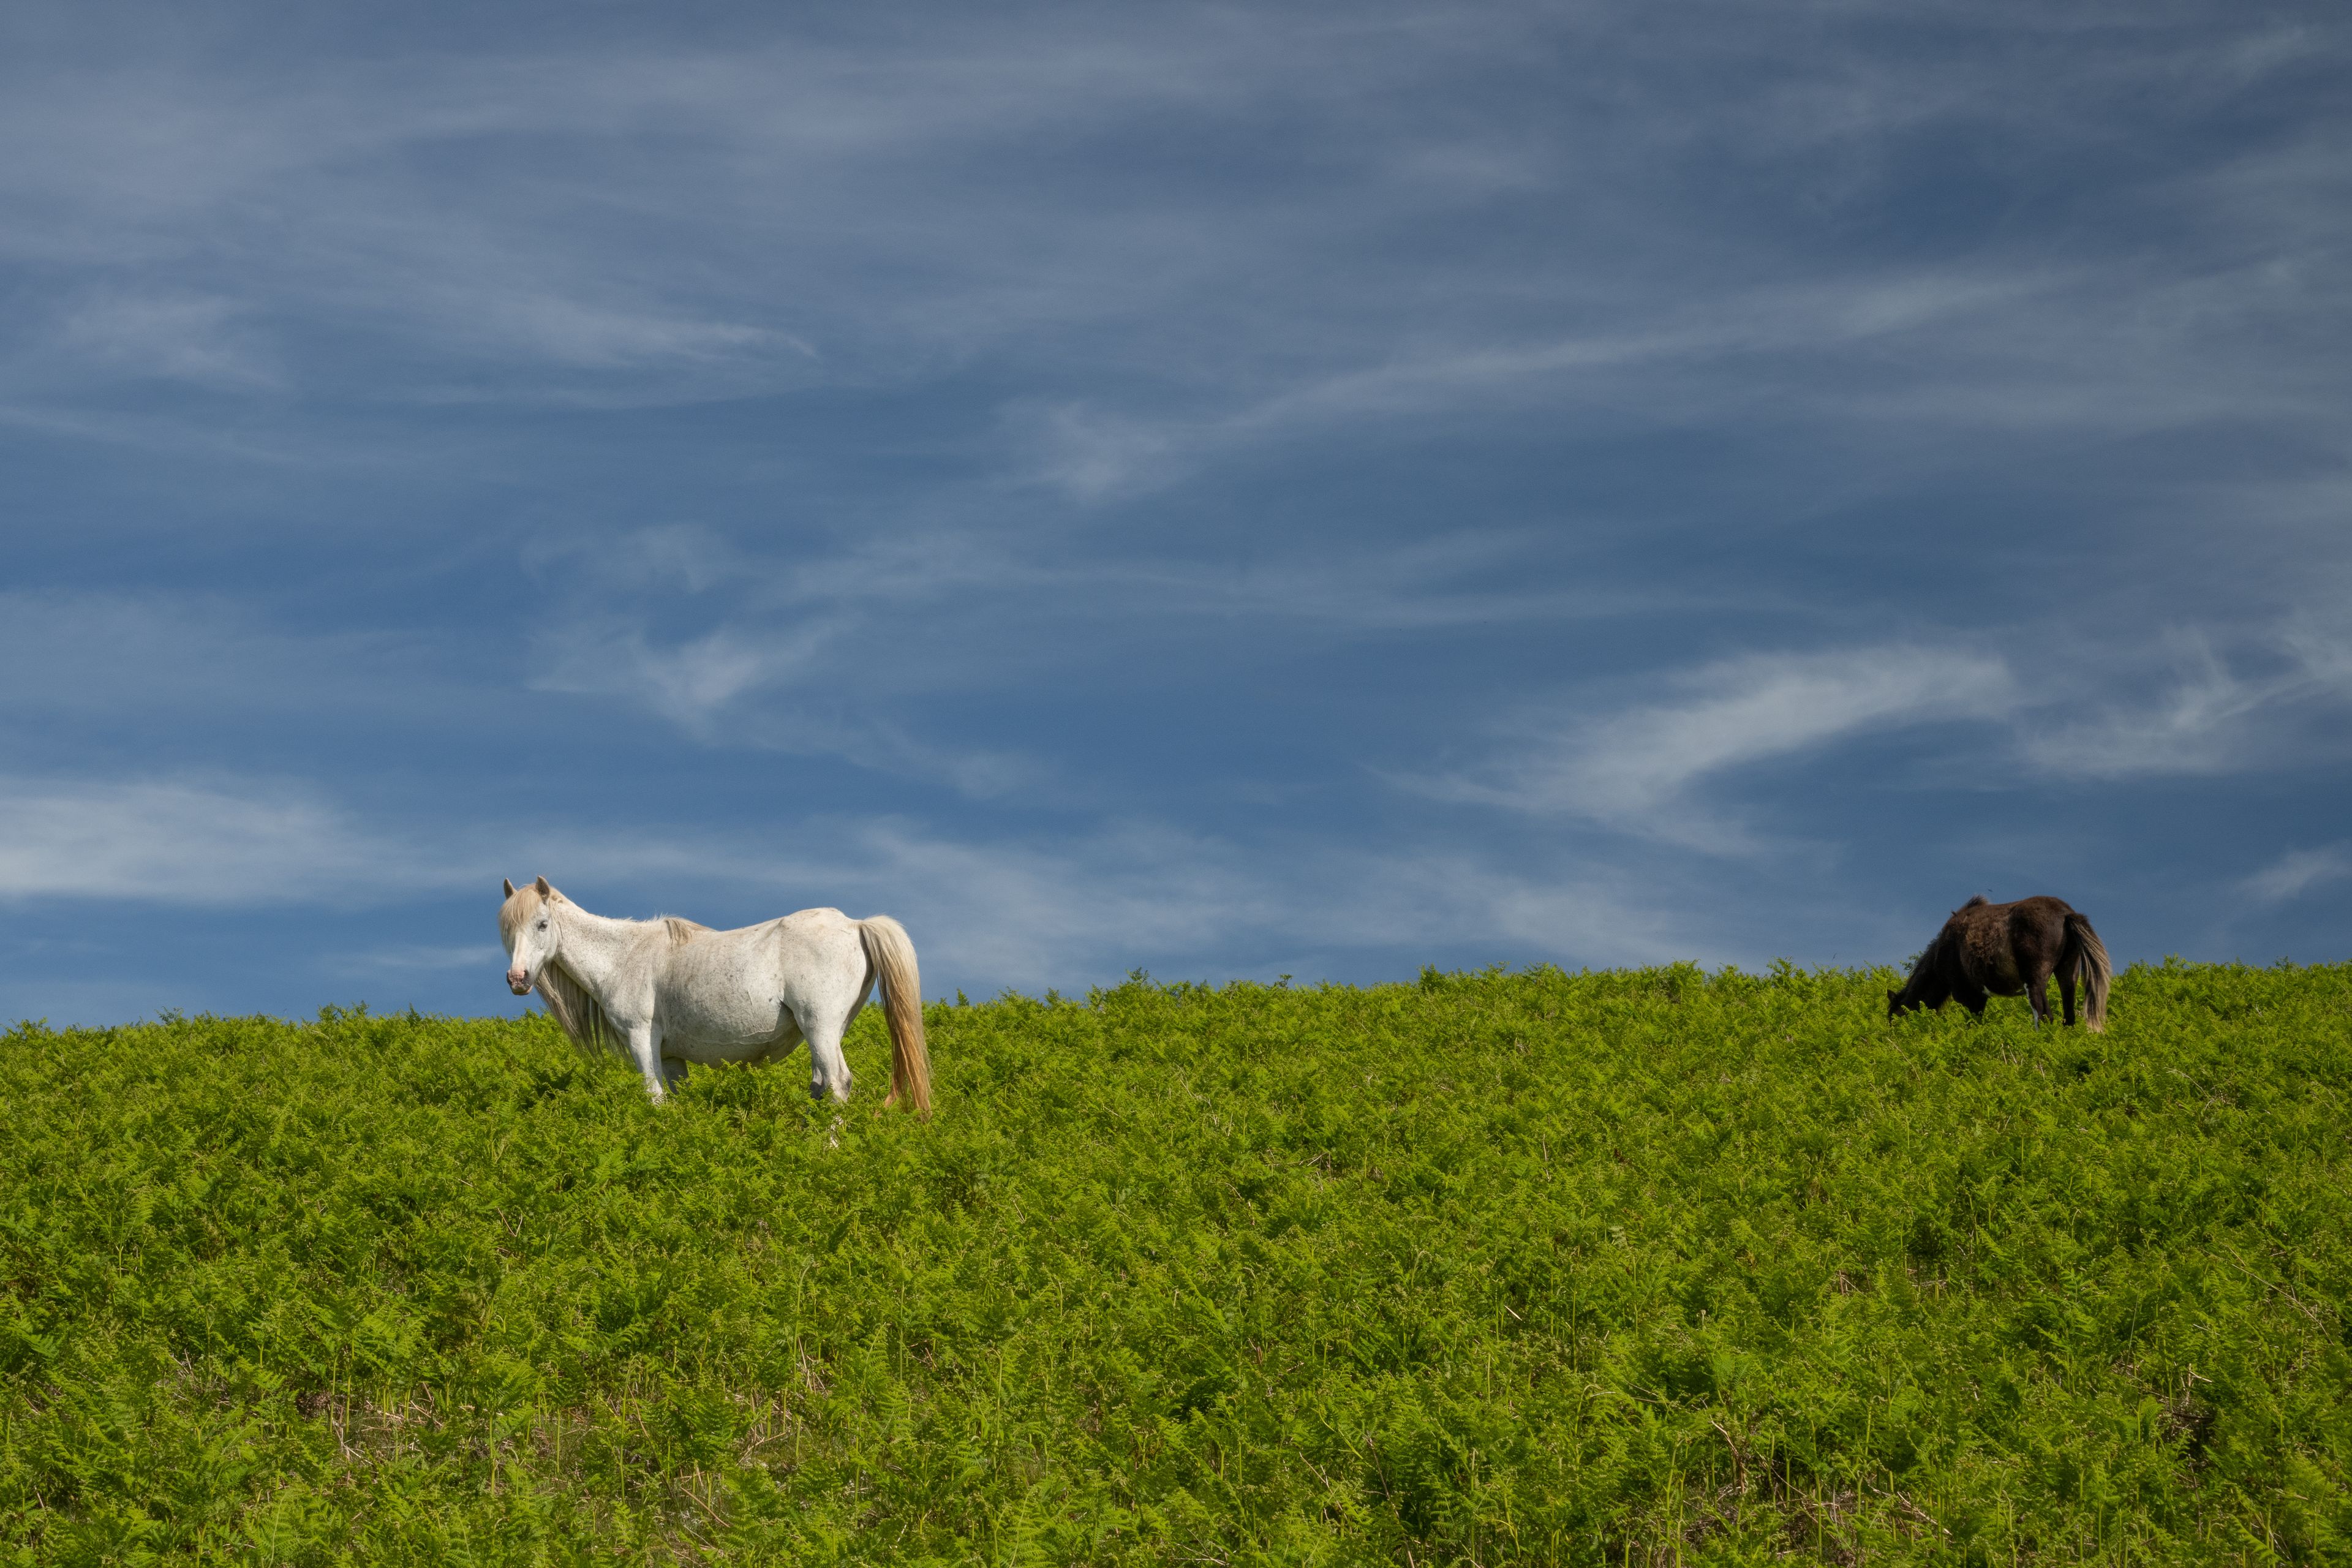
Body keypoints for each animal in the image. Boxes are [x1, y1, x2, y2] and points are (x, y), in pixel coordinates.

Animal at [496, 876, 932, 1114]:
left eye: (542, 924)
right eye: (507, 931)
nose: (517, 979)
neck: (624, 956)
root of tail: (856, 924)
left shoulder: (642, 1039)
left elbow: (653, 1097)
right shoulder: (672, 1056)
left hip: (820, 1027)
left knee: (838, 1084)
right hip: (828, 1032)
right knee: (823, 1083)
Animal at [1887, 894, 2110, 1031]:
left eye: (1895, 1017)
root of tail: (2066, 914)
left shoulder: (1969, 996)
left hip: (2035, 980)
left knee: (2044, 1016)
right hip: (2068, 972)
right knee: (2068, 1018)